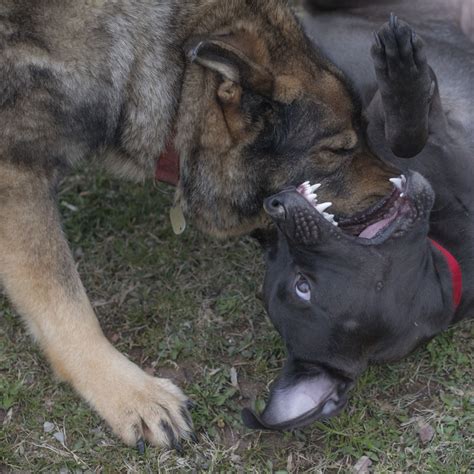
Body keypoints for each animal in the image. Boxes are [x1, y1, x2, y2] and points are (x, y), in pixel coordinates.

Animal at [243, 3, 472, 432]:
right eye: (302, 286)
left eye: (274, 251)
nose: (274, 205)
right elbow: (406, 133)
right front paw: (402, 67)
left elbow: (402, 133)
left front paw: (401, 68)